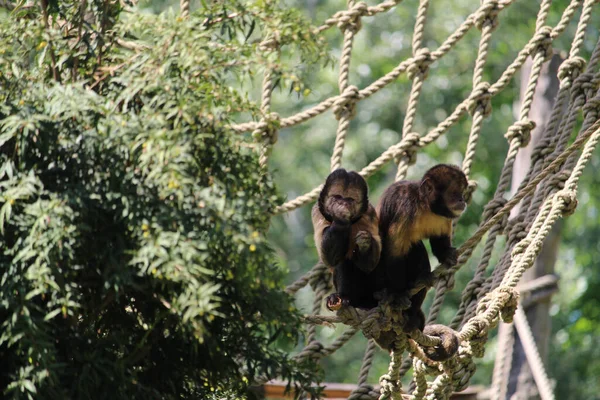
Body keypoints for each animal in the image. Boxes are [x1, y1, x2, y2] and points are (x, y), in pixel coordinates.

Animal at [312, 167, 382, 310]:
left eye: (349, 199)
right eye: (337, 197)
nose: (342, 203)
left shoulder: (370, 212)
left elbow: (370, 265)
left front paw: (365, 244)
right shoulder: (317, 212)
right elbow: (329, 259)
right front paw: (340, 217)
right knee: (342, 260)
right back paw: (343, 297)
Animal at [376, 164, 468, 332]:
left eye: (462, 192)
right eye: (454, 192)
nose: (462, 199)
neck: (424, 206)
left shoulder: (443, 215)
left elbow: (439, 240)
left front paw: (446, 255)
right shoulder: (406, 210)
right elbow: (394, 253)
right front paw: (398, 294)